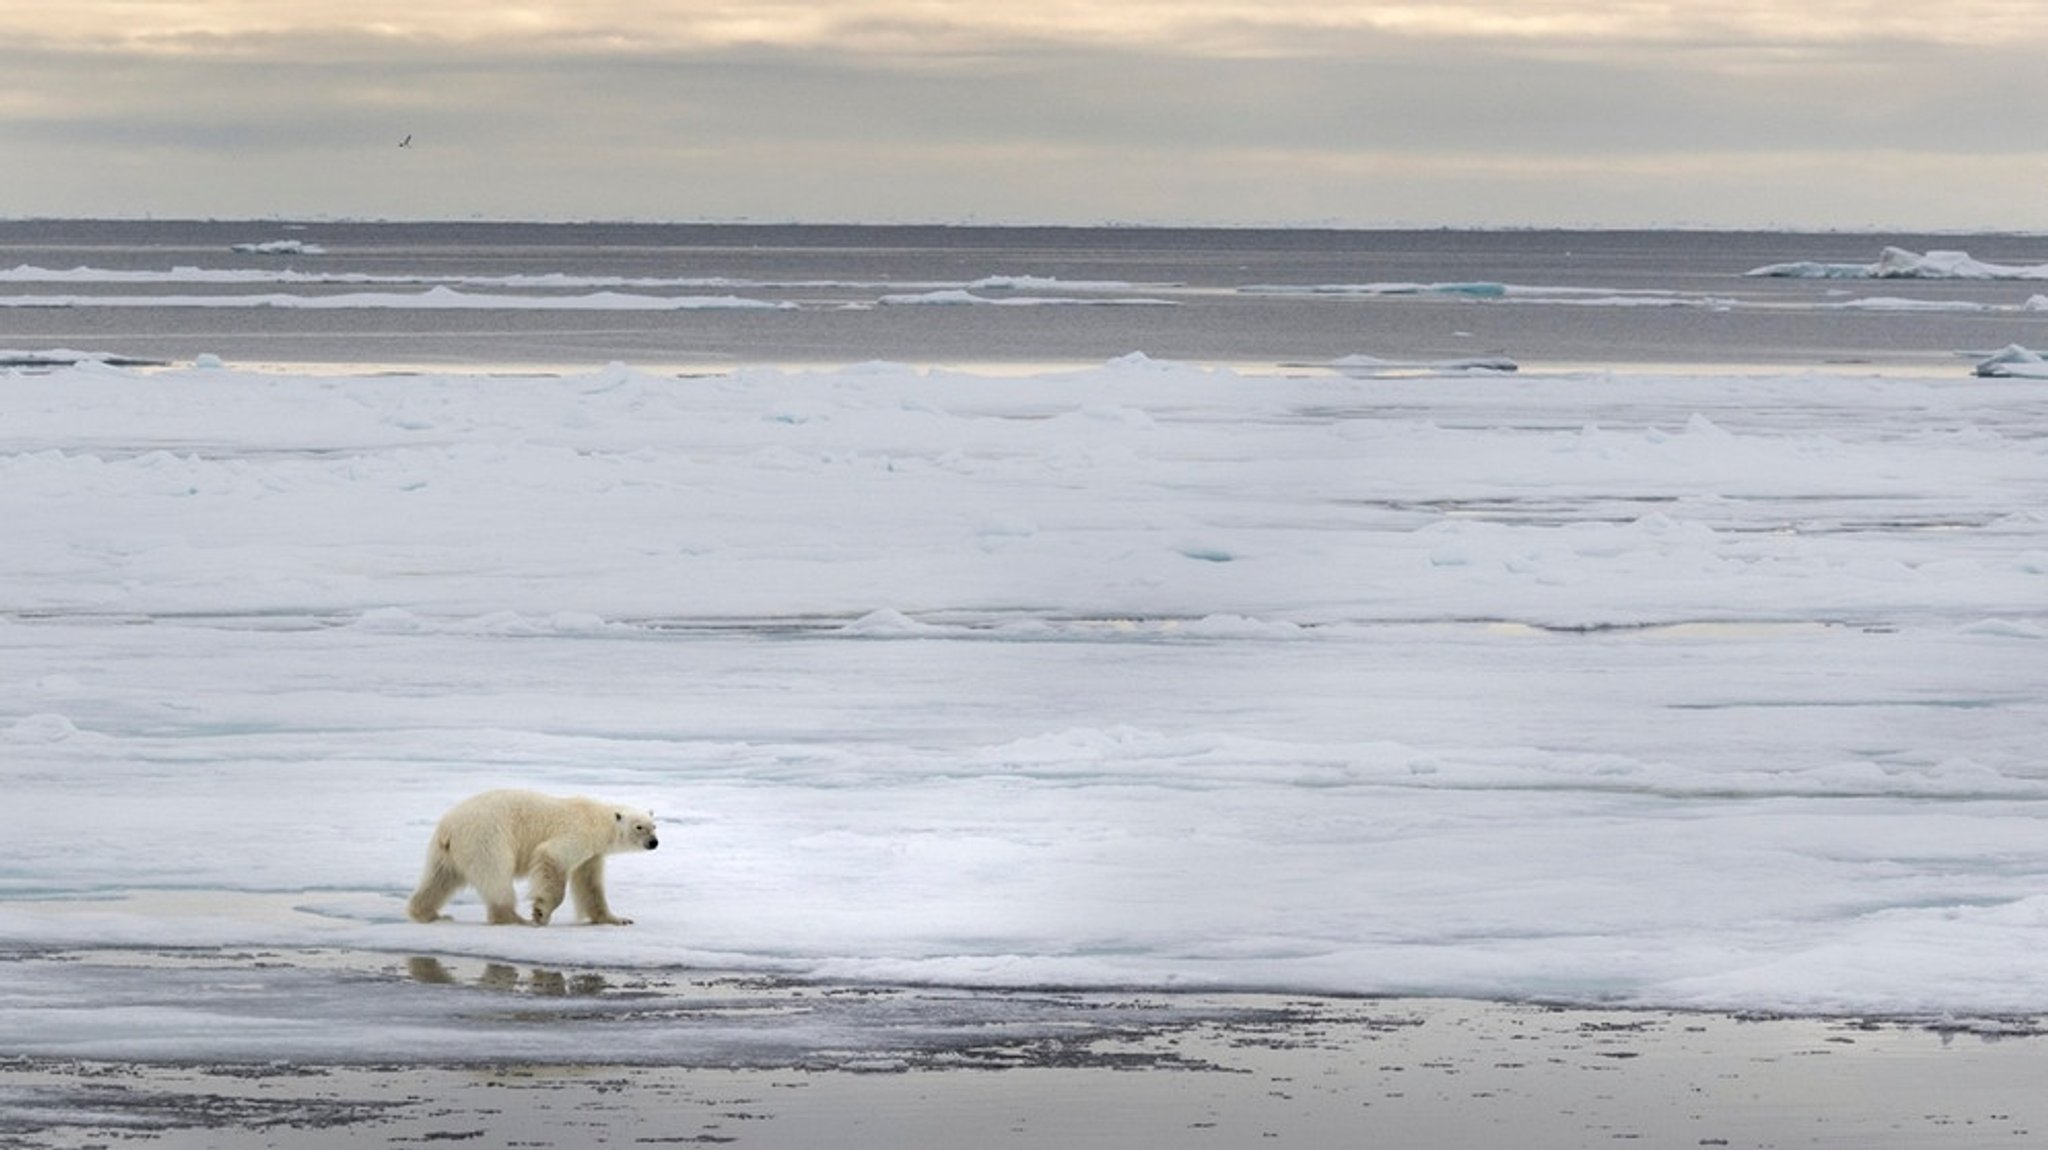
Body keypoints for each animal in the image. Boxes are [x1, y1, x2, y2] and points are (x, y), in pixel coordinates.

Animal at [399, 785, 655, 920]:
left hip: (445, 852)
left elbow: (590, 884)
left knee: (439, 878)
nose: (654, 843)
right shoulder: (578, 832)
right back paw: (514, 918)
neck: (597, 818)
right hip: (487, 838)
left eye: (654, 825)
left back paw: (429, 913)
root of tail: (448, 828)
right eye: (639, 827)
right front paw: (541, 911)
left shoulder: (592, 853)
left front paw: (617, 920)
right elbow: (551, 855)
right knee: (496, 876)